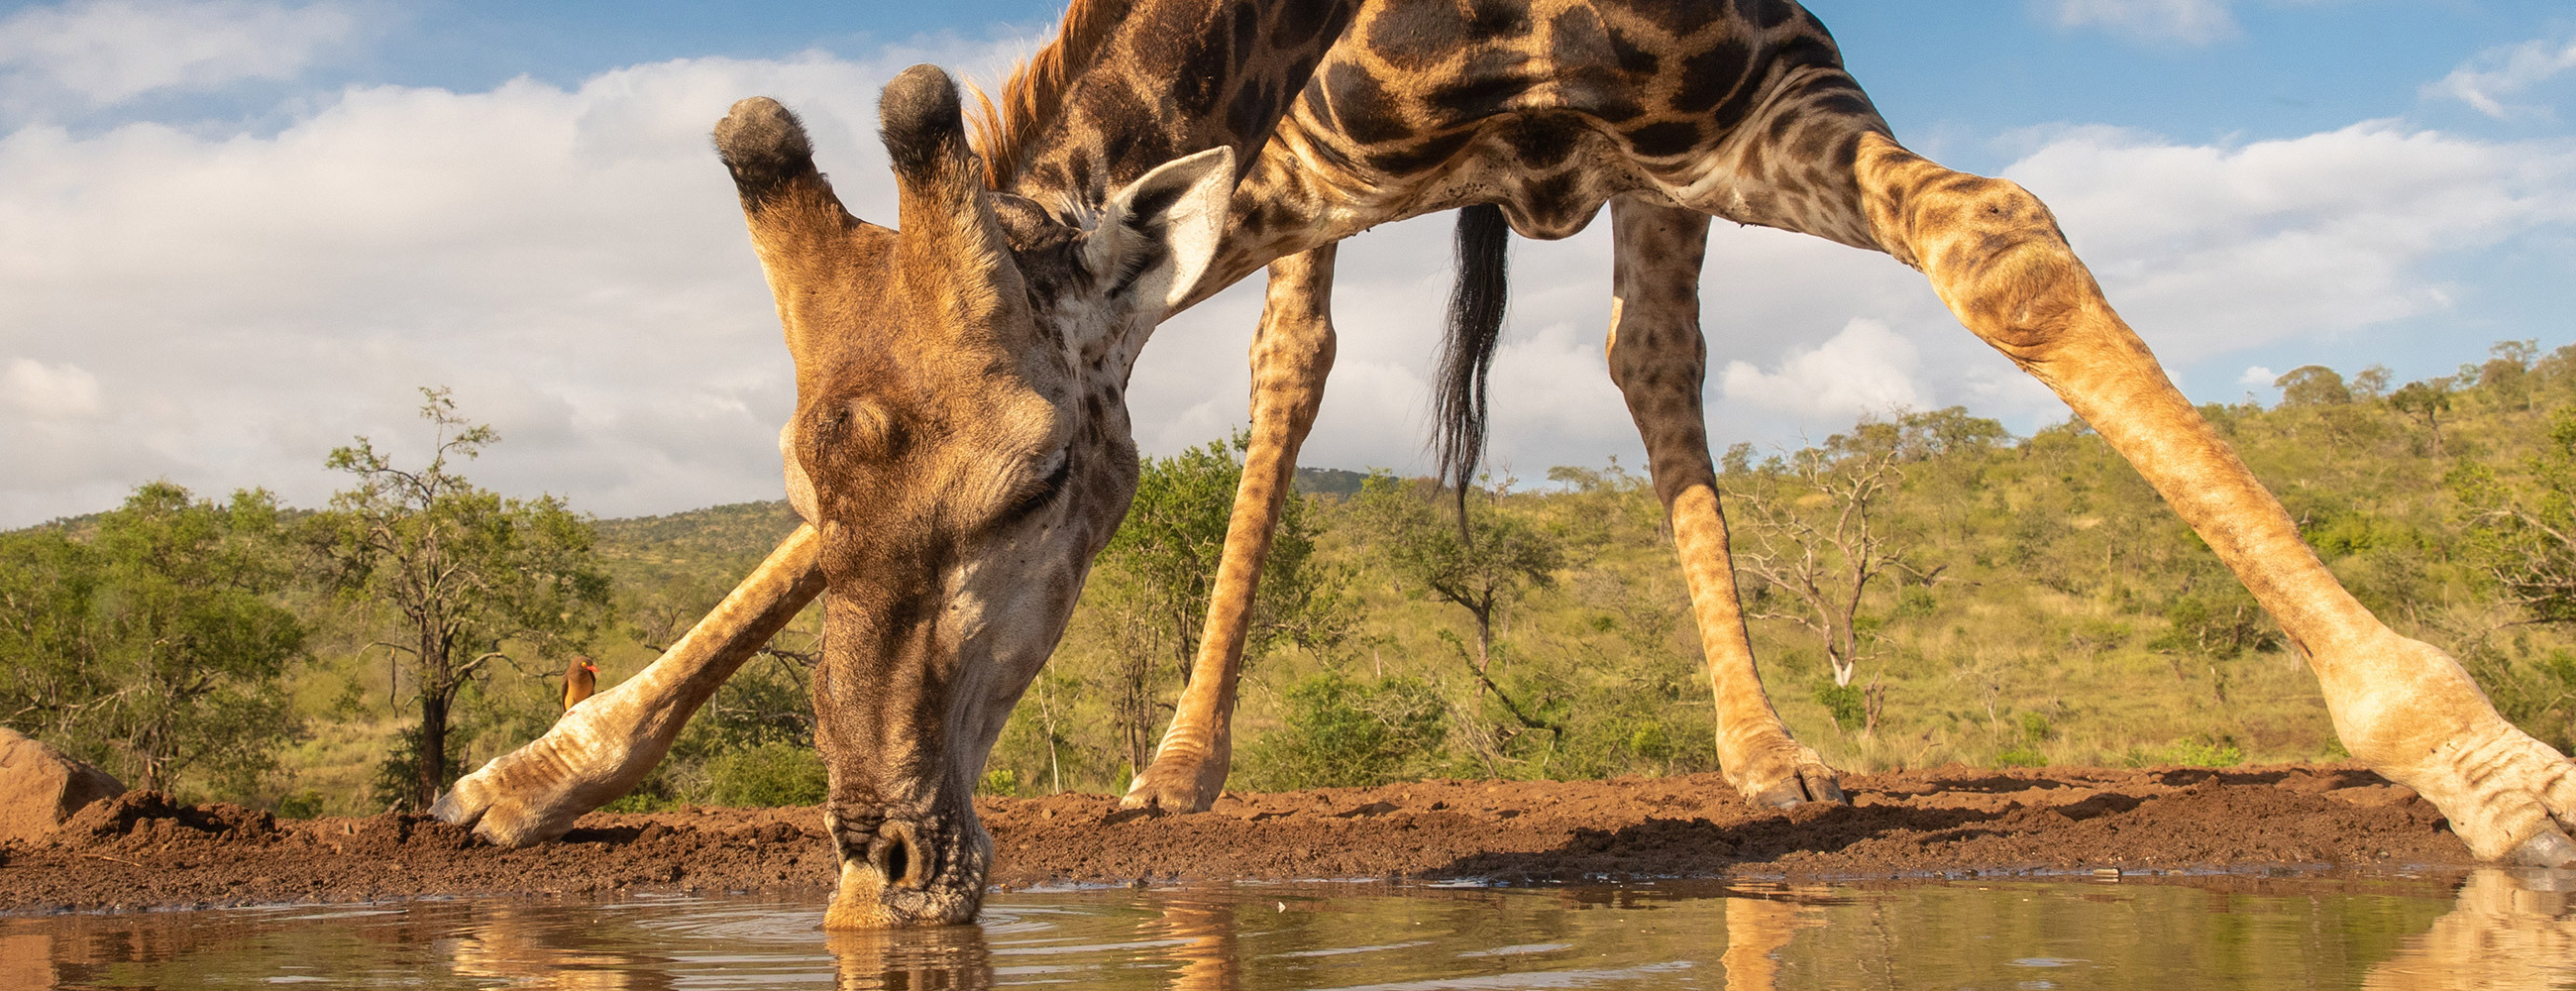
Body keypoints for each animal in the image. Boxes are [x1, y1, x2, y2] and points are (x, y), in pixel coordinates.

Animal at [427, 0, 2576, 927]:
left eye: (1036, 489)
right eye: (806, 484)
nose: (876, 851)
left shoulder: (1761, 79)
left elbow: (2005, 243)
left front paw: (2481, 759)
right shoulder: (1247, 183)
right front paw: (533, 774)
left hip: (1649, 162)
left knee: (1651, 362)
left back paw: (1765, 752)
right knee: (1303, 373)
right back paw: (1180, 761)